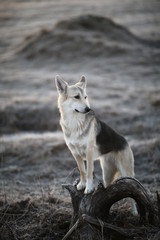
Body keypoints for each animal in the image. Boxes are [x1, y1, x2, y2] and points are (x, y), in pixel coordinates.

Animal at [55, 75, 138, 214]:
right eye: (76, 97)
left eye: (85, 97)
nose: (88, 109)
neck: (75, 123)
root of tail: (125, 141)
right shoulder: (75, 153)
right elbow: (82, 171)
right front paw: (81, 185)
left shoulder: (88, 153)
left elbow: (89, 172)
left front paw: (88, 188)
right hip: (107, 174)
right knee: (109, 193)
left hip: (126, 174)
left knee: (132, 193)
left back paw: (135, 213)